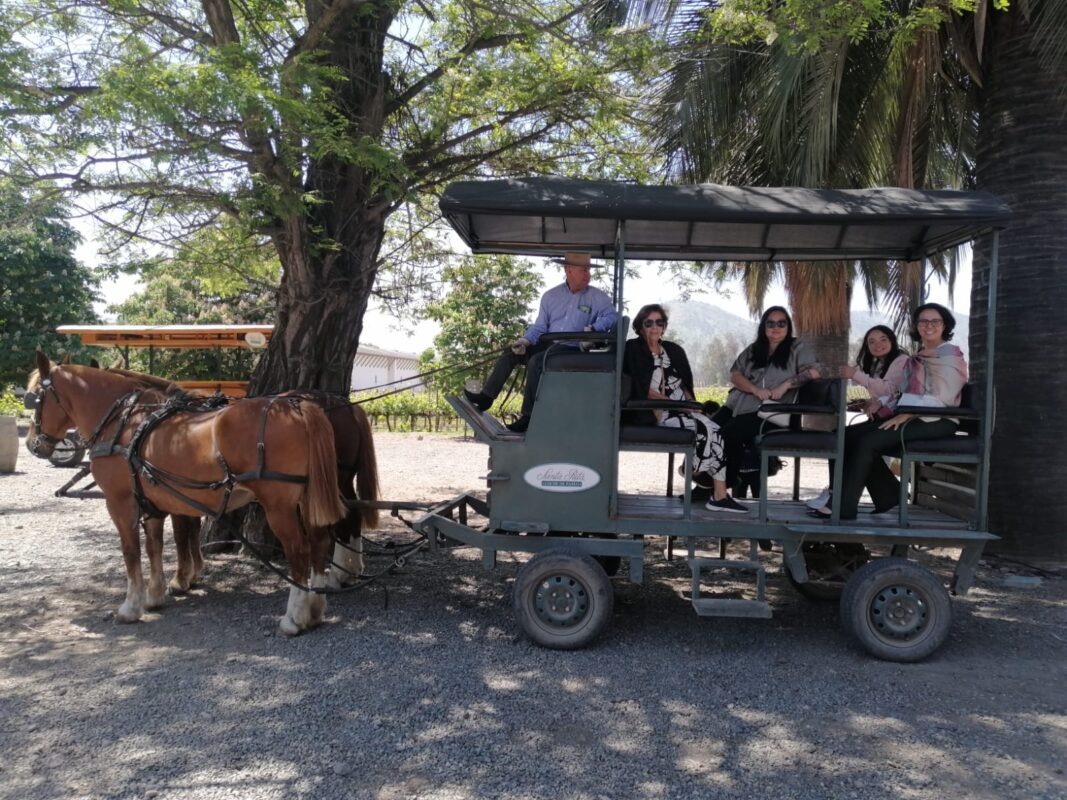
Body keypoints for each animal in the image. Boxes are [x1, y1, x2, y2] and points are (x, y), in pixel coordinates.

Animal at [26, 352, 346, 635]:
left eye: (34, 398)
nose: (32, 444)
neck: (125, 424)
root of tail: (296, 407)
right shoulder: (151, 499)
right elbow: (154, 546)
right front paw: (155, 595)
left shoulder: (120, 502)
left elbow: (131, 551)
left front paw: (131, 606)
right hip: (306, 500)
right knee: (319, 544)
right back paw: (315, 610)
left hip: (278, 506)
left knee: (299, 551)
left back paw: (294, 618)